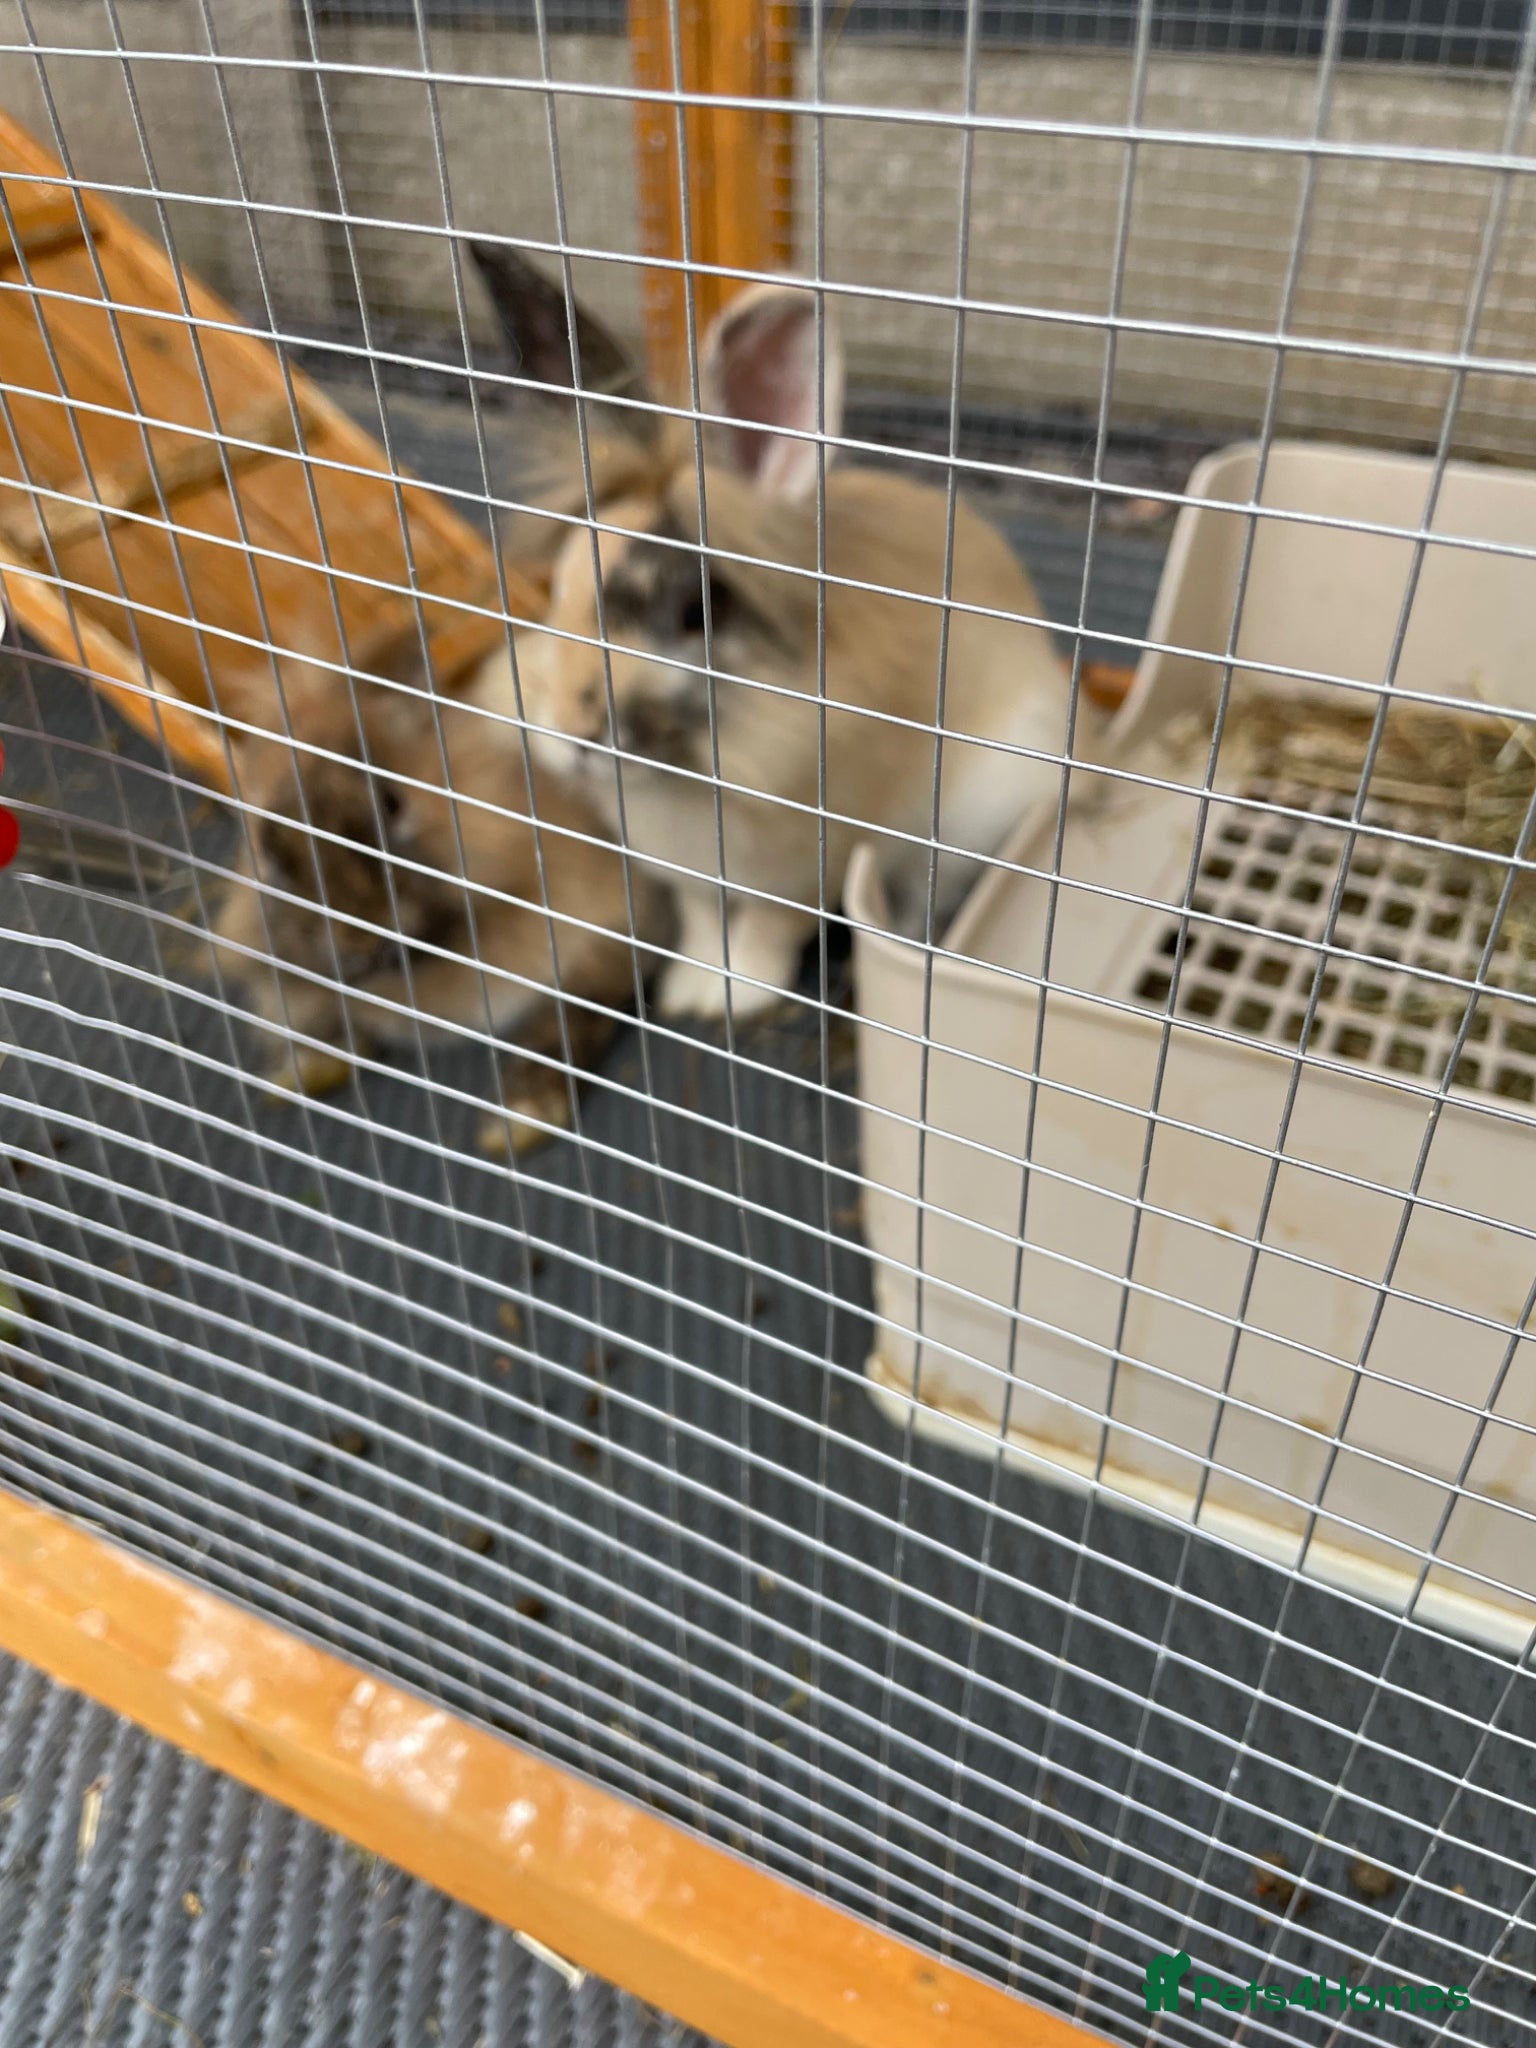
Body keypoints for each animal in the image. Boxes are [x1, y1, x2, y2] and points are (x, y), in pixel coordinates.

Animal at [210, 630, 662, 1152]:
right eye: (267, 848)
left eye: (392, 803)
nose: (363, 943)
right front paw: (300, 1073)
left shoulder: (612, 933)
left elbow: (567, 1022)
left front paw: (517, 1121)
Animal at [464, 247, 1090, 1021]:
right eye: (556, 588)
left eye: (693, 612)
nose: (570, 733)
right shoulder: (688, 873)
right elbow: (704, 919)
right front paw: (691, 988)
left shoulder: (806, 864)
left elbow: (769, 926)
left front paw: (737, 997)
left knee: (923, 903)